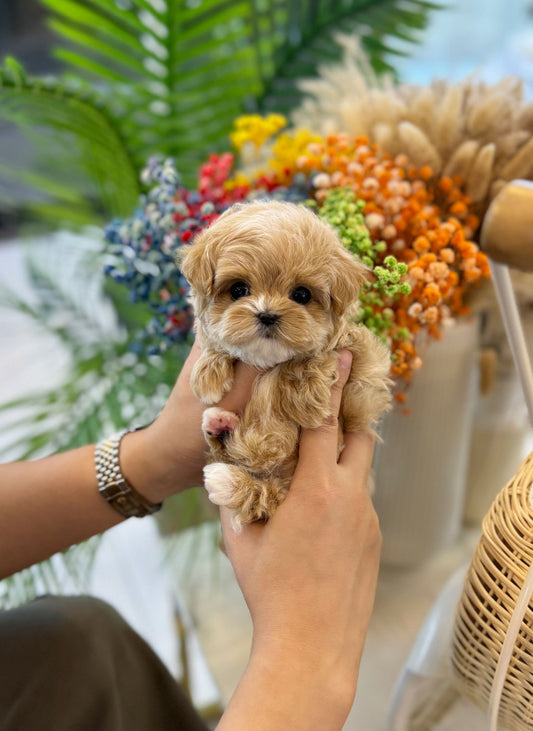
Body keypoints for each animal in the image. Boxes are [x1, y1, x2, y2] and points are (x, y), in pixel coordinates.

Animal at [179, 200, 390, 532]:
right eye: (238, 290)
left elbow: (307, 361)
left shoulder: (364, 382)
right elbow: (213, 340)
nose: (267, 314)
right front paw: (208, 372)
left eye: (301, 294)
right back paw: (220, 425)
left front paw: (302, 399)